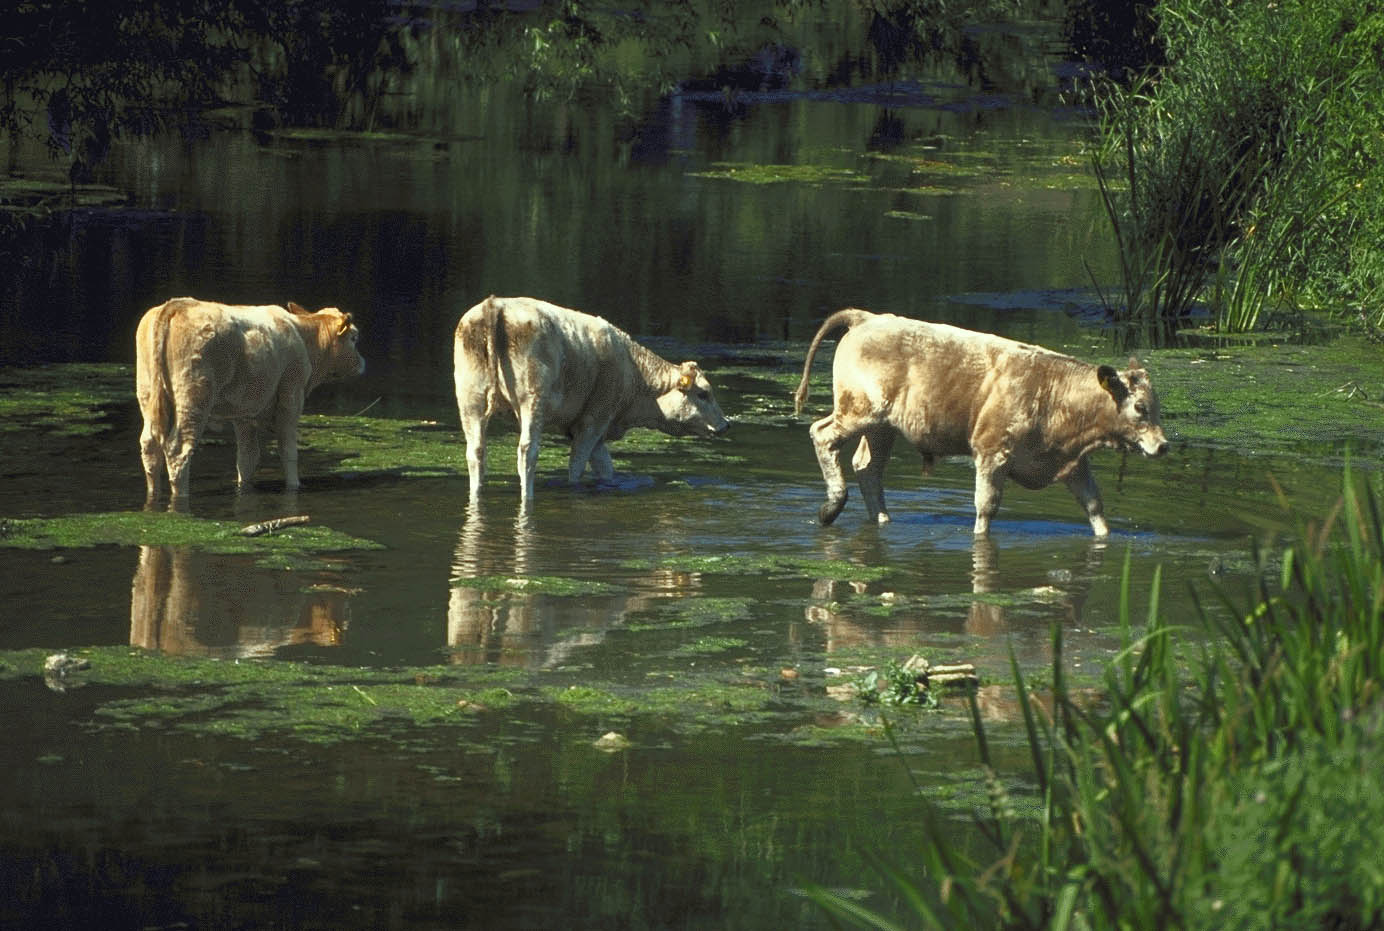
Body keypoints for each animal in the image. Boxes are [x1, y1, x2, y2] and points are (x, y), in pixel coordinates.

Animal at [130, 297, 362, 503]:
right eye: (354, 338)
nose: (362, 363)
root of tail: (177, 304)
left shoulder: (245, 411)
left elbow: (247, 457)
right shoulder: (291, 396)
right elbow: (288, 450)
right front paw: (295, 486)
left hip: (147, 392)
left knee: (149, 446)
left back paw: (153, 493)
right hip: (193, 397)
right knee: (178, 450)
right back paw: (181, 496)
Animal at [453, 296, 736, 500]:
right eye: (703, 393)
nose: (725, 425)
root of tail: (497, 304)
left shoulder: (596, 432)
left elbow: (605, 468)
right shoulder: (593, 421)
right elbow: (577, 465)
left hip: (470, 399)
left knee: (476, 452)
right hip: (531, 401)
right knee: (527, 452)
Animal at [791, 308, 1168, 533]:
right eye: (1139, 407)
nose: (1163, 446)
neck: (1055, 393)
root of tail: (867, 317)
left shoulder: (1073, 463)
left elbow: (1094, 507)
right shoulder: (992, 453)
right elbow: (986, 508)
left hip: (881, 427)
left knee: (868, 468)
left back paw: (882, 520)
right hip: (859, 411)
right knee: (822, 435)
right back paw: (831, 506)